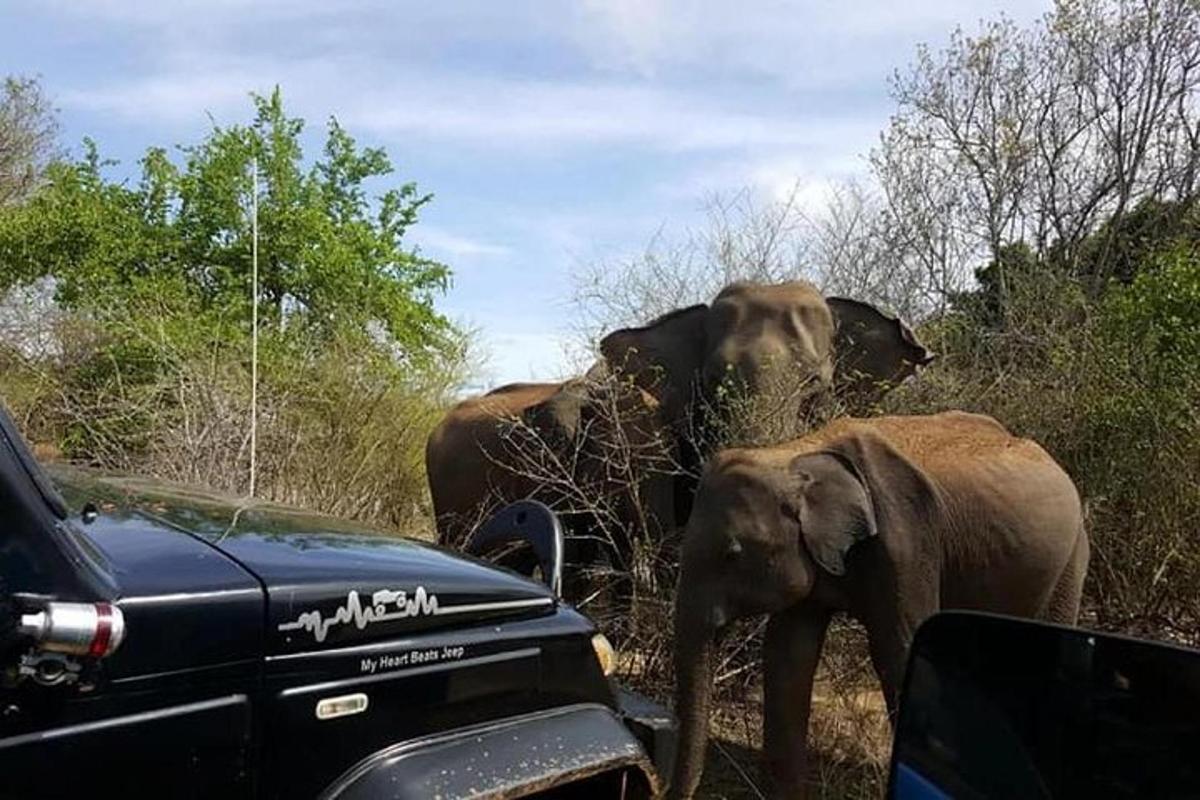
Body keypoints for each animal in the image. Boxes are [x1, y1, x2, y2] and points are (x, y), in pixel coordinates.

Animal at [672, 412, 1094, 800]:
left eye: (732, 554)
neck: (795, 454)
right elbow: (788, 656)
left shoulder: (906, 539)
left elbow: (899, 648)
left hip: (1072, 557)